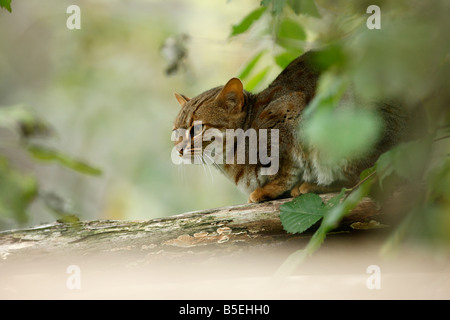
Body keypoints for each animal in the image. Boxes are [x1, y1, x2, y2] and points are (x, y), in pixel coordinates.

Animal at [171, 52, 404, 202]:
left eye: (196, 129)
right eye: (176, 132)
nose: (179, 149)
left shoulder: (289, 113)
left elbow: (286, 167)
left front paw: (270, 189)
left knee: (365, 177)